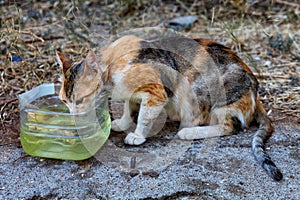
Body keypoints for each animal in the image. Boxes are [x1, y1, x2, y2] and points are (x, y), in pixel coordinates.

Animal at [56, 33, 284, 181]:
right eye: (65, 101)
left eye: (80, 100)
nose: (73, 116)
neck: (111, 69)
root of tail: (254, 85)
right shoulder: (133, 94)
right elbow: (130, 105)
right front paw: (123, 122)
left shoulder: (156, 91)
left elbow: (144, 116)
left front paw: (137, 135)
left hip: (201, 90)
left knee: (230, 126)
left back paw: (188, 131)